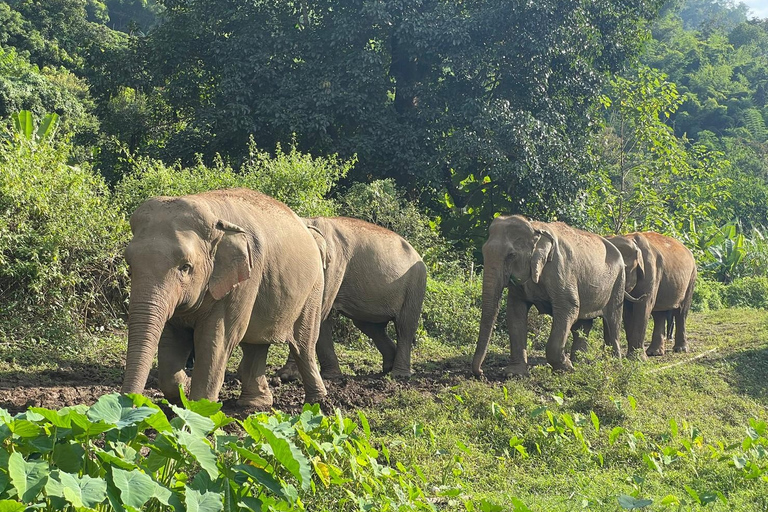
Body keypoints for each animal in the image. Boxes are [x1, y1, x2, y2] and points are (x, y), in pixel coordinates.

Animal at [120, 188, 328, 408]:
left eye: (185, 267)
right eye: (130, 266)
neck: (214, 217)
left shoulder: (244, 279)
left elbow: (216, 339)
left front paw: (200, 409)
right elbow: (171, 338)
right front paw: (183, 389)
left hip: (314, 289)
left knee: (303, 345)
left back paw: (317, 402)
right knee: (255, 344)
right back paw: (254, 404)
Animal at [278, 216, 432, 380]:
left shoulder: (334, 265)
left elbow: (317, 313)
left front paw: (287, 376)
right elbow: (321, 317)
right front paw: (330, 376)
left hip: (415, 286)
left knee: (405, 326)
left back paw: (399, 375)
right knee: (371, 327)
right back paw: (388, 368)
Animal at [472, 214, 628, 378]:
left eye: (511, 255)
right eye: (483, 251)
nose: (481, 373)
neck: (535, 228)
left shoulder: (560, 269)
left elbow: (569, 307)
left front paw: (566, 369)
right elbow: (515, 312)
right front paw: (514, 373)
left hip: (618, 282)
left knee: (613, 321)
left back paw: (614, 363)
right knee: (583, 325)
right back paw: (581, 363)